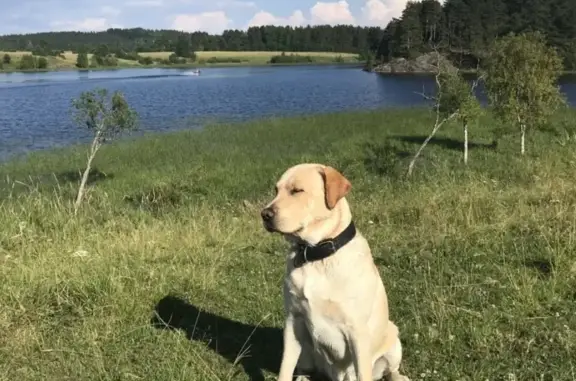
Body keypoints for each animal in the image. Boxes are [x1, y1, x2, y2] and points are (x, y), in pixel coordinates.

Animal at [260, 163, 410, 380]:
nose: (264, 214)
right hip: (306, 347)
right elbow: (285, 368)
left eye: (297, 190)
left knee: (391, 370)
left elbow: (364, 373)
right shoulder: (293, 320)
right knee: (305, 368)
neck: (315, 255)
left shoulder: (357, 331)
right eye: (276, 190)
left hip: (392, 336)